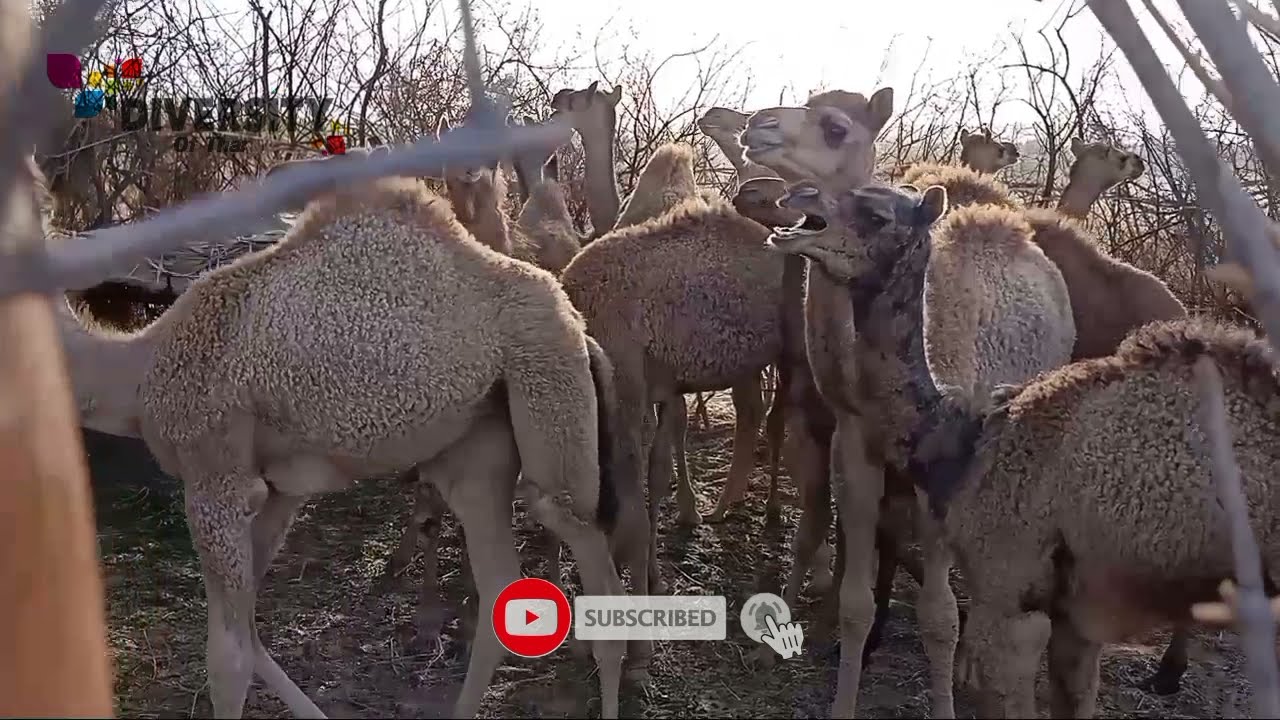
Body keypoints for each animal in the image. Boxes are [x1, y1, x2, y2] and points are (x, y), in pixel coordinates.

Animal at [42, 159, 629, 719]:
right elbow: (248, 630)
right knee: (499, 582)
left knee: (580, 543)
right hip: (476, 448)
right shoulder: (276, 490)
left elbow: (228, 658)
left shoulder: (212, 476)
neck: (138, 371)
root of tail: (580, 329)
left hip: (547, 389)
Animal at [740, 87, 1076, 719]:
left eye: (835, 127)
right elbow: (856, 599)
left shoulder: (940, 480)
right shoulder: (854, 447)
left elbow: (939, 618)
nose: (756, 124)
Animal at [770, 179, 1280, 719]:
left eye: (877, 214)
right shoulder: (1074, 620)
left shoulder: (1010, 591)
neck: (962, 439)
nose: (800, 195)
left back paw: (1168, 673)